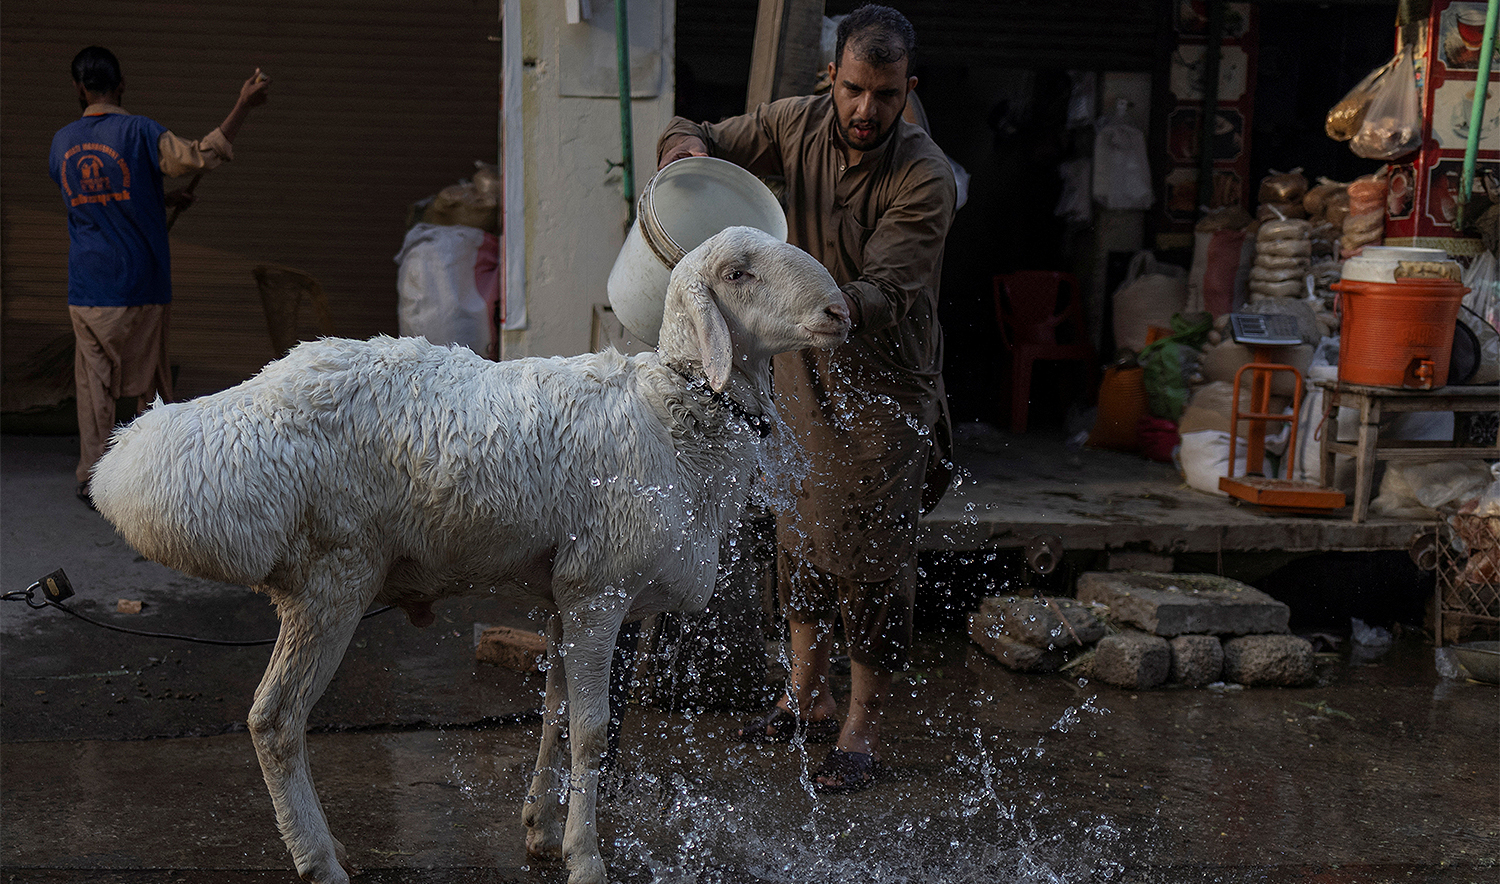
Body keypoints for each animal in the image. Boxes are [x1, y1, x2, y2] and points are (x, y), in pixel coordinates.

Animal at [89, 225, 849, 884]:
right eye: (738, 273)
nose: (840, 311)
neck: (674, 420)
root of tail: (244, 415)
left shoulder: (568, 594)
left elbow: (556, 714)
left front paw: (542, 830)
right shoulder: (599, 590)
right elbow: (592, 733)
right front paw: (586, 858)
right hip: (334, 575)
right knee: (275, 721)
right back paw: (320, 860)